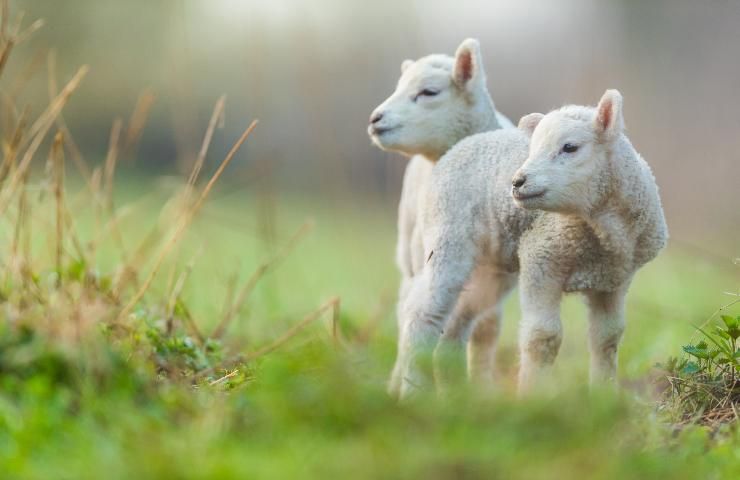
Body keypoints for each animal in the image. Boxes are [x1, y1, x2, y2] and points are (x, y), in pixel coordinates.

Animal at [368, 35, 516, 392]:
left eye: (429, 92)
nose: (375, 119)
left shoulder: (496, 280)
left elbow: (478, 331)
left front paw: (470, 387)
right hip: (411, 250)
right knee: (407, 309)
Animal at [396, 89, 668, 398]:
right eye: (532, 148)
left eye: (570, 147)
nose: (517, 182)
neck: (599, 232)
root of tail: (458, 146)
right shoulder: (541, 257)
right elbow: (543, 336)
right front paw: (532, 397)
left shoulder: (614, 280)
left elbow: (608, 338)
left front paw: (603, 396)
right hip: (446, 236)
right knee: (422, 314)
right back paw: (413, 390)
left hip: (489, 270)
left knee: (455, 325)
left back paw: (454, 391)